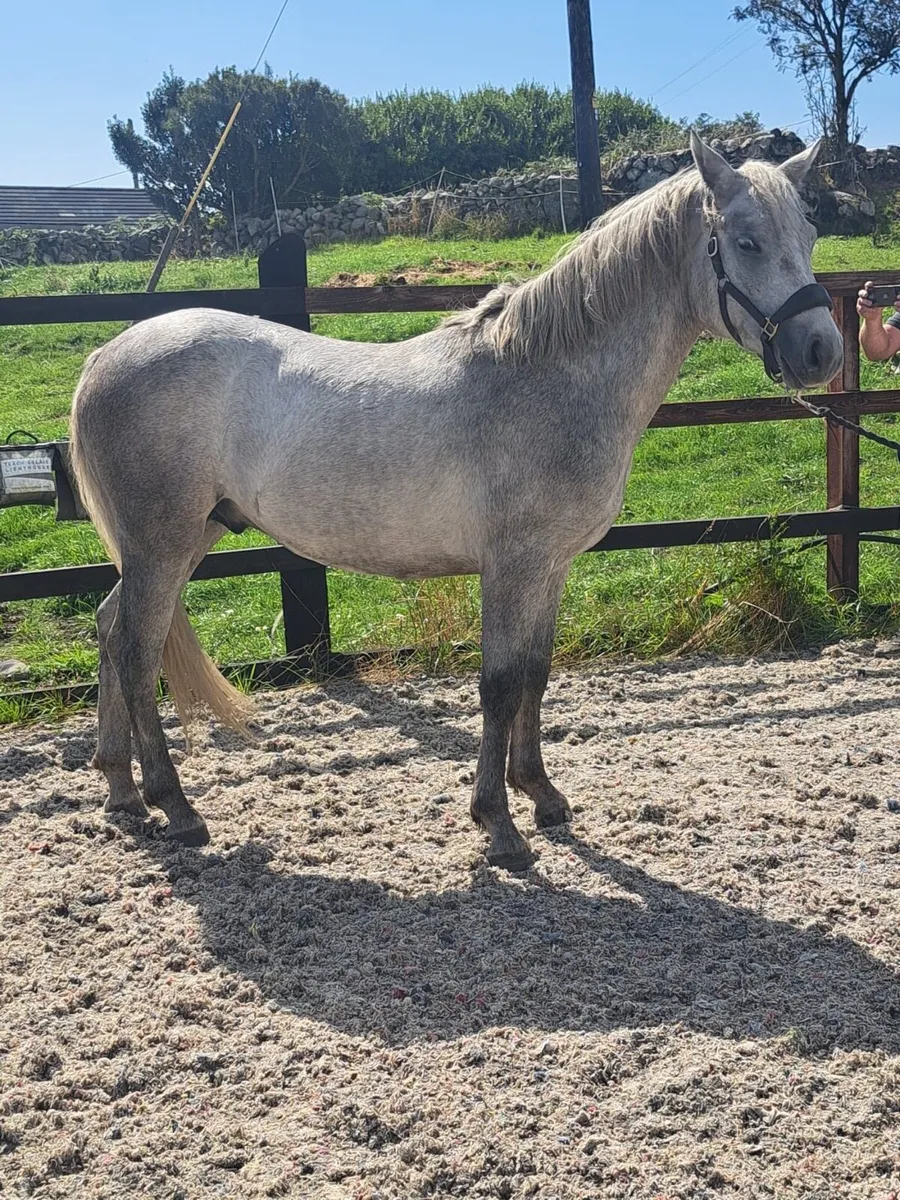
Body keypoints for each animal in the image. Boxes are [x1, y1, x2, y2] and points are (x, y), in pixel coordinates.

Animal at [69, 134, 842, 871]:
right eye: (746, 242)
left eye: (810, 234)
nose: (821, 351)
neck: (544, 375)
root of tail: (105, 355)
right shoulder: (511, 566)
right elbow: (499, 685)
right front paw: (499, 826)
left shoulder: (550, 567)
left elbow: (535, 674)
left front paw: (542, 795)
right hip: (162, 545)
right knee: (135, 652)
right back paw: (176, 807)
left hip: (181, 542)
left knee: (109, 628)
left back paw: (122, 791)